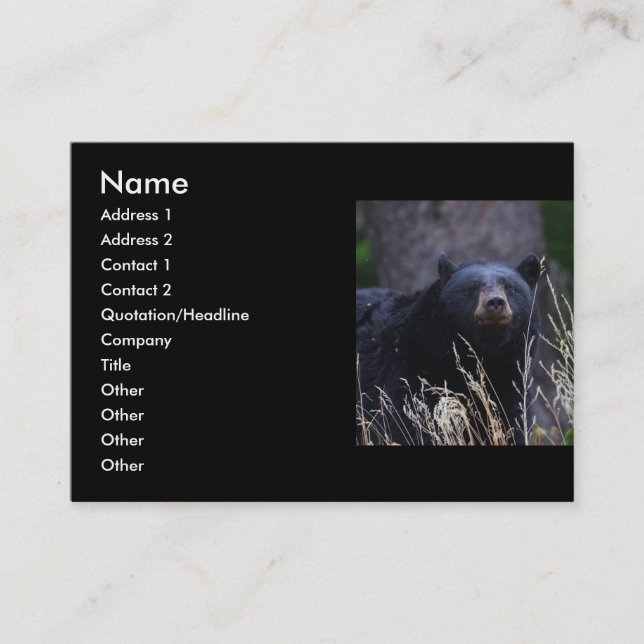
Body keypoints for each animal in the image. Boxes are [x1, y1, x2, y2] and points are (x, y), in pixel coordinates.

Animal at [356, 253, 541, 446]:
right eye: (473, 286)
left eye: (509, 286)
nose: (495, 302)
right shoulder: (409, 369)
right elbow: (406, 423)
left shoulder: (511, 380)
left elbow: (510, 425)